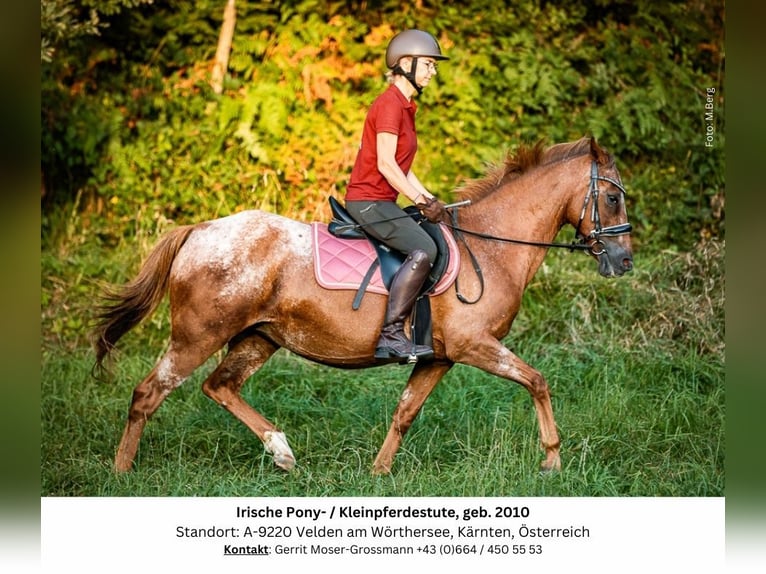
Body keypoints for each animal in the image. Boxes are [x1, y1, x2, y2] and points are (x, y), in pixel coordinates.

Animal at [91, 136, 636, 476]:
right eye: (612, 199)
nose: (624, 260)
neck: (491, 246)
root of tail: (199, 231)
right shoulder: (475, 346)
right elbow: (538, 381)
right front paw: (552, 461)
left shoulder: (440, 358)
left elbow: (405, 412)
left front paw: (378, 472)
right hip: (197, 336)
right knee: (148, 393)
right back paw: (122, 473)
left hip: (258, 338)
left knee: (219, 386)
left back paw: (282, 452)